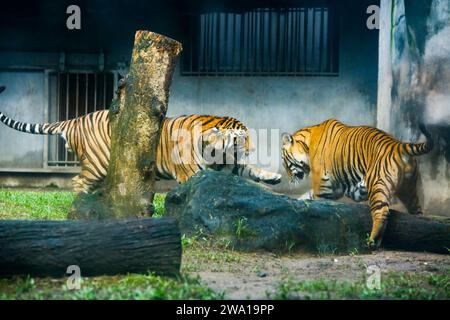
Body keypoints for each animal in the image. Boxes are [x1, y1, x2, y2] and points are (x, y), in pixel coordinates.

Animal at [0, 85, 282, 194]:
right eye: (241, 139)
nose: (252, 148)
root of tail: (75, 119)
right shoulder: (192, 172)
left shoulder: (225, 164)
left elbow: (249, 168)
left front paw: (273, 177)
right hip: (97, 164)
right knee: (79, 182)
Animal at [282, 119, 432, 249]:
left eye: (285, 163)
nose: (289, 180)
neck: (307, 143)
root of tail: (397, 145)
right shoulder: (333, 189)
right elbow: (308, 195)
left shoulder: (323, 187)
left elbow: (318, 204)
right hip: (409, 190)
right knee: (417, 212)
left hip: (378, 185)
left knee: (381, 213)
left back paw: (371, 241)